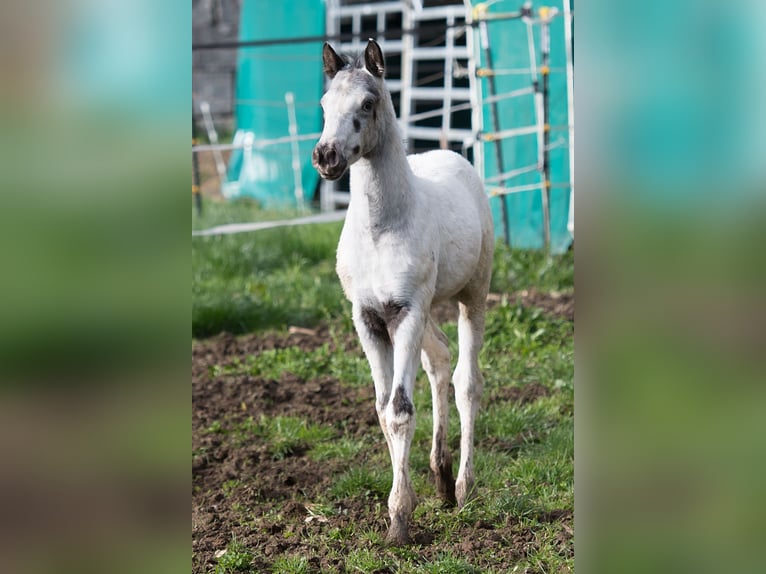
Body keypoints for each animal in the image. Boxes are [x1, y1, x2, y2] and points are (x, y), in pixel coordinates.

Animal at [316, 39, 496, 544]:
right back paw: (441, 477)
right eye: (324, 105)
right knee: (440, 359)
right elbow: (382, 409)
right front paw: (404, 508)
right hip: (428, 309)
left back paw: (463, 487)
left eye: (367, 103)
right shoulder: (370, 317)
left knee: (467, 380)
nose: (326, 156)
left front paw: (399, 519)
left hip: (472, 293)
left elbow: (399, 410)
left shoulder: (407, 311)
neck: (381, 230)